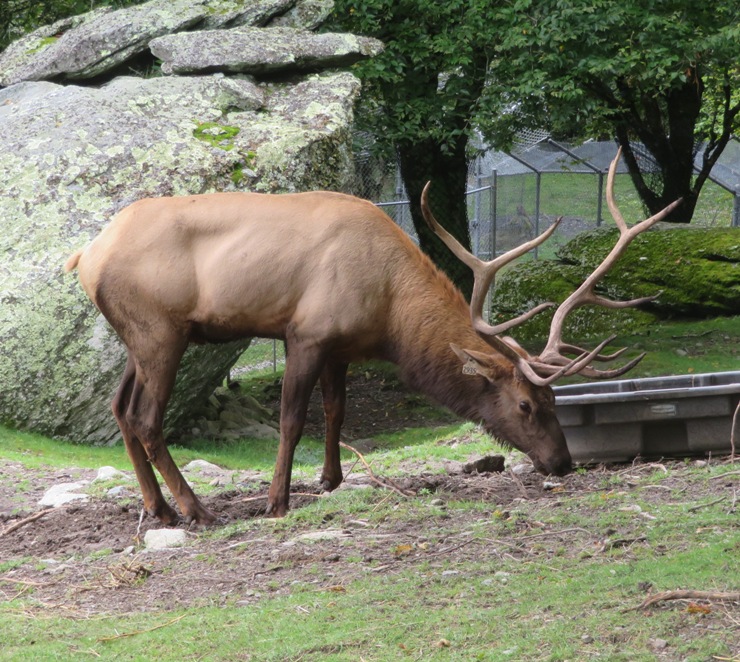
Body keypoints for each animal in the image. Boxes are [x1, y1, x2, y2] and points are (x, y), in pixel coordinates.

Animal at [65, 153, 684, 528]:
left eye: (557, 400)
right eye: (528, 404)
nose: (563, 463)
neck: (389, 310)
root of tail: (85, 256)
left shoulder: (341, 347)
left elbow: (336, 413)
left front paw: (332, 481)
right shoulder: (307, 332)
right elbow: (293, 420)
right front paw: (277, 501)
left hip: (137, 337)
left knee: (119, 409)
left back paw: (160, 509)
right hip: (160, 329)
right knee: (146, 417)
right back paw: (196, 510)